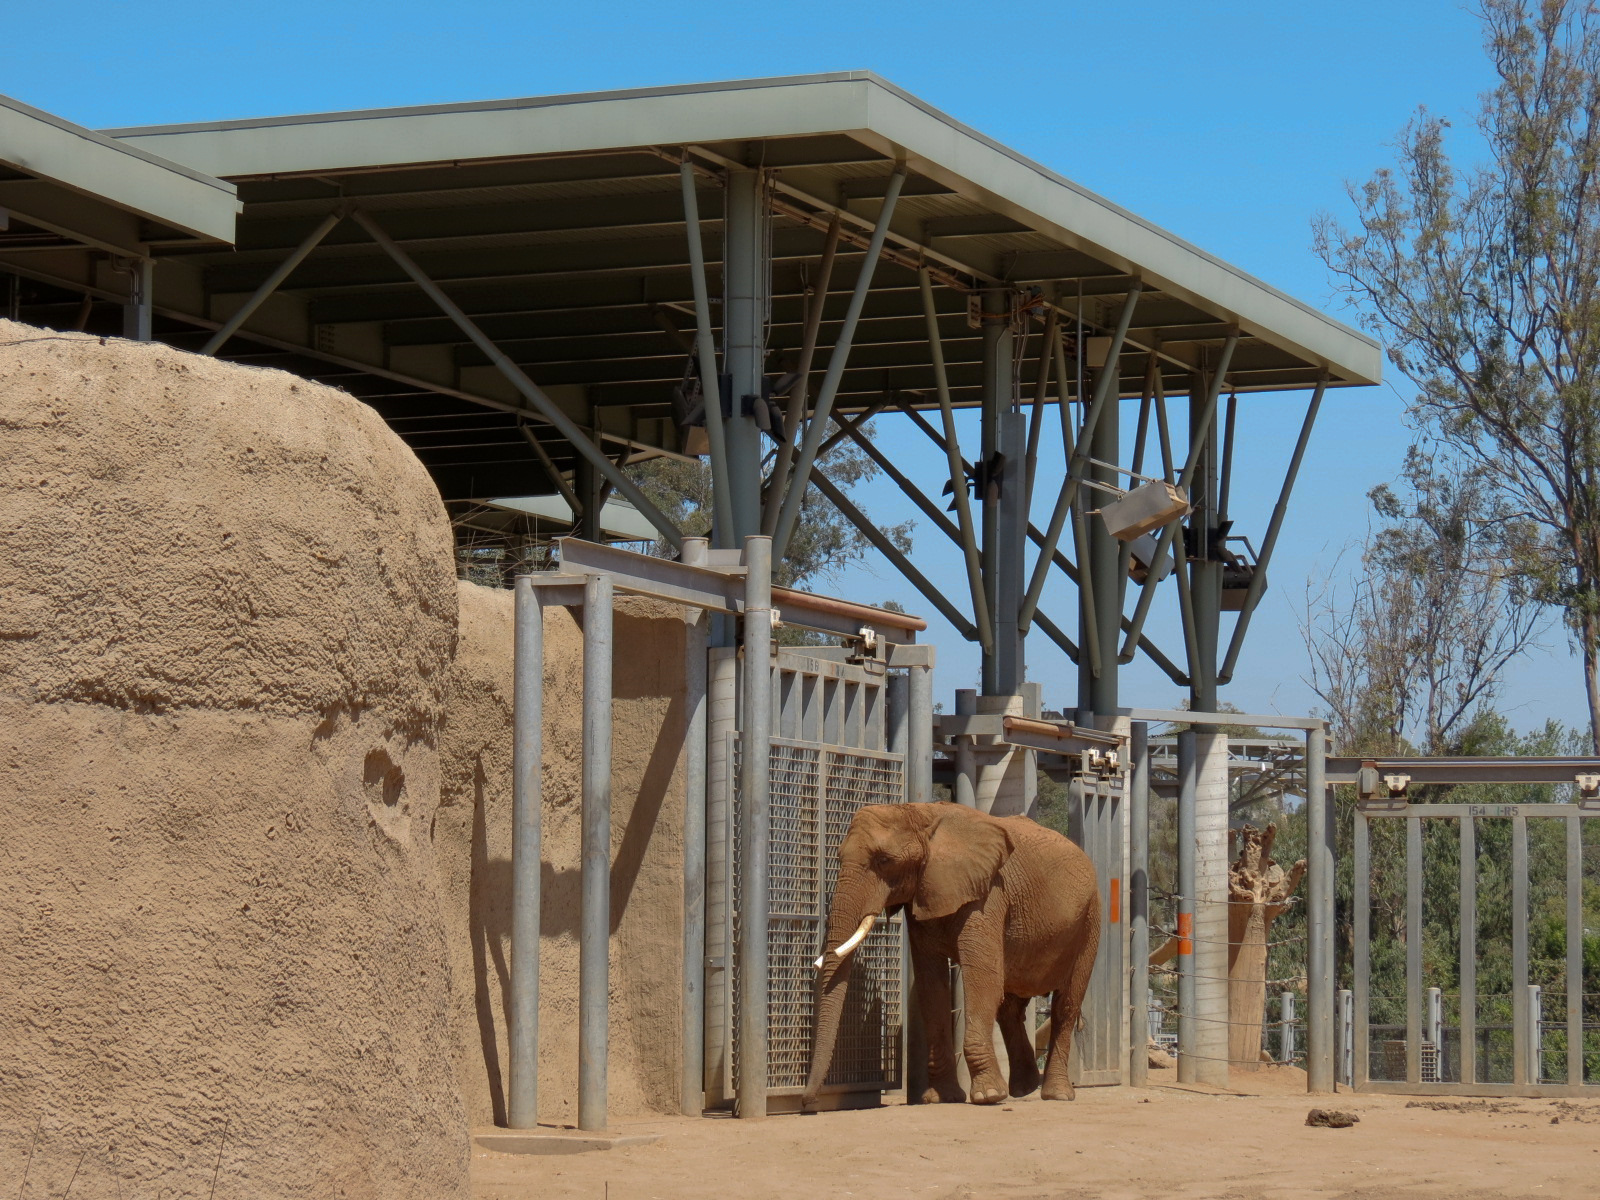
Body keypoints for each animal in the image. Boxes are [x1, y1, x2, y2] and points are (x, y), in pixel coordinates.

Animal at [802, 800, 1100, 1107]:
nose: (806, 1101)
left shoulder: (987, 893)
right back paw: (1024, 1088)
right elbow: (931, 985)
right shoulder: (924, 894)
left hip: (1090, 918)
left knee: (1066, 1003)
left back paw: (1056, 1094)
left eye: (884, 860)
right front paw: (940, 1098)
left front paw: (988, 1096)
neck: (922, 813)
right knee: (1010, 1007)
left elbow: (983, 979)